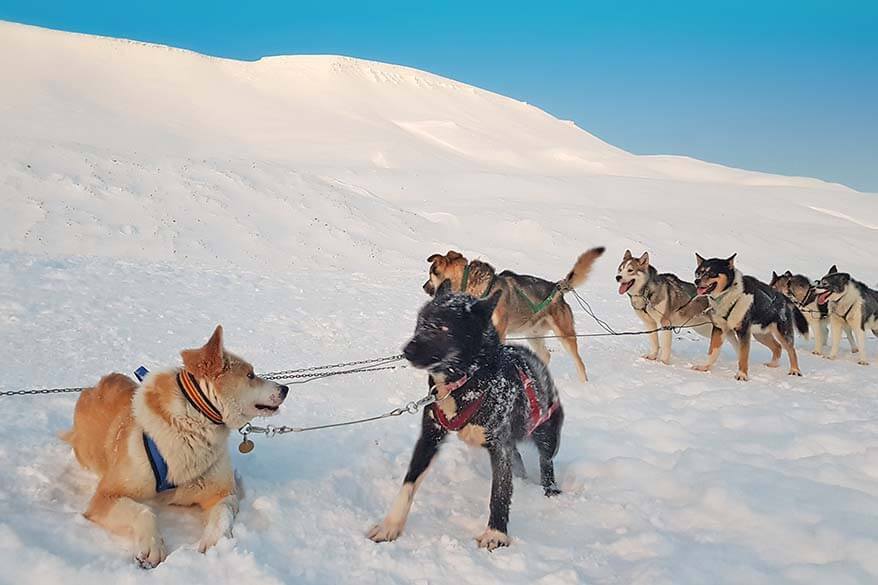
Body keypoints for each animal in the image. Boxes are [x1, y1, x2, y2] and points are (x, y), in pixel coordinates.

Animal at [62, 324, 288, 564]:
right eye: (250, 375)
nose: (285, 389)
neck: (193, 424)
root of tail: (95, 386)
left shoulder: (222, 493)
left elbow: (223, 514)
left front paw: (215, 544)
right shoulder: (105, 496)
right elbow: (143, 511)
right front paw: (152, 545)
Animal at [368, 280, 568, 548]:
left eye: (443, 326)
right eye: (421, 321)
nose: (407, 350)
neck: (464, 382)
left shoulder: (499, 445)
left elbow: (500, 492)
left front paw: (496, 533)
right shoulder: (430, 436)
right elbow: (409, 483)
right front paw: (390, 525)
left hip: (547, 433)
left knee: (546, 461)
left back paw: (551, 489)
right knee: (518, 460)